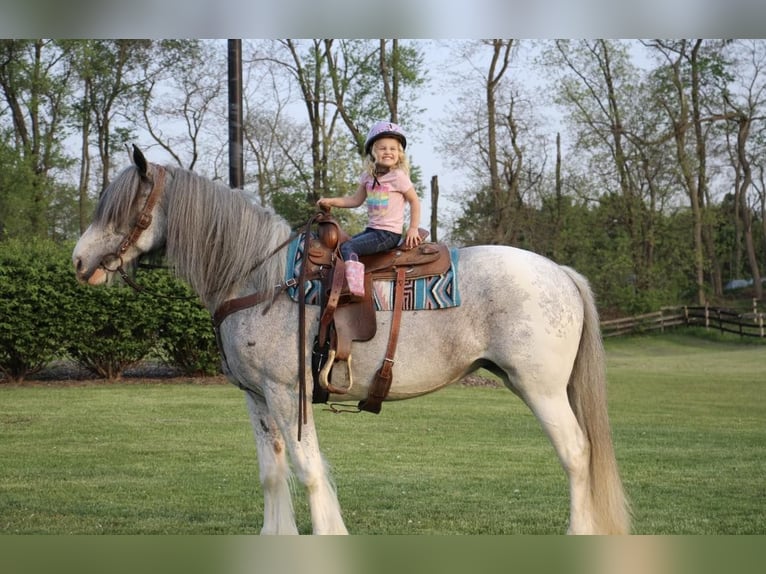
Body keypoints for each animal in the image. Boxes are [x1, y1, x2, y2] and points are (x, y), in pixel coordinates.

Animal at [73, 147, 632, 536]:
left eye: (121, 210)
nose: (78, 261)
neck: (261, 278)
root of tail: (559, 272)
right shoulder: (257, 398)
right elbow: (273, 472)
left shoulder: (288, 393)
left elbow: (308, 469)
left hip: (541, 388)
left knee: (576, 453)